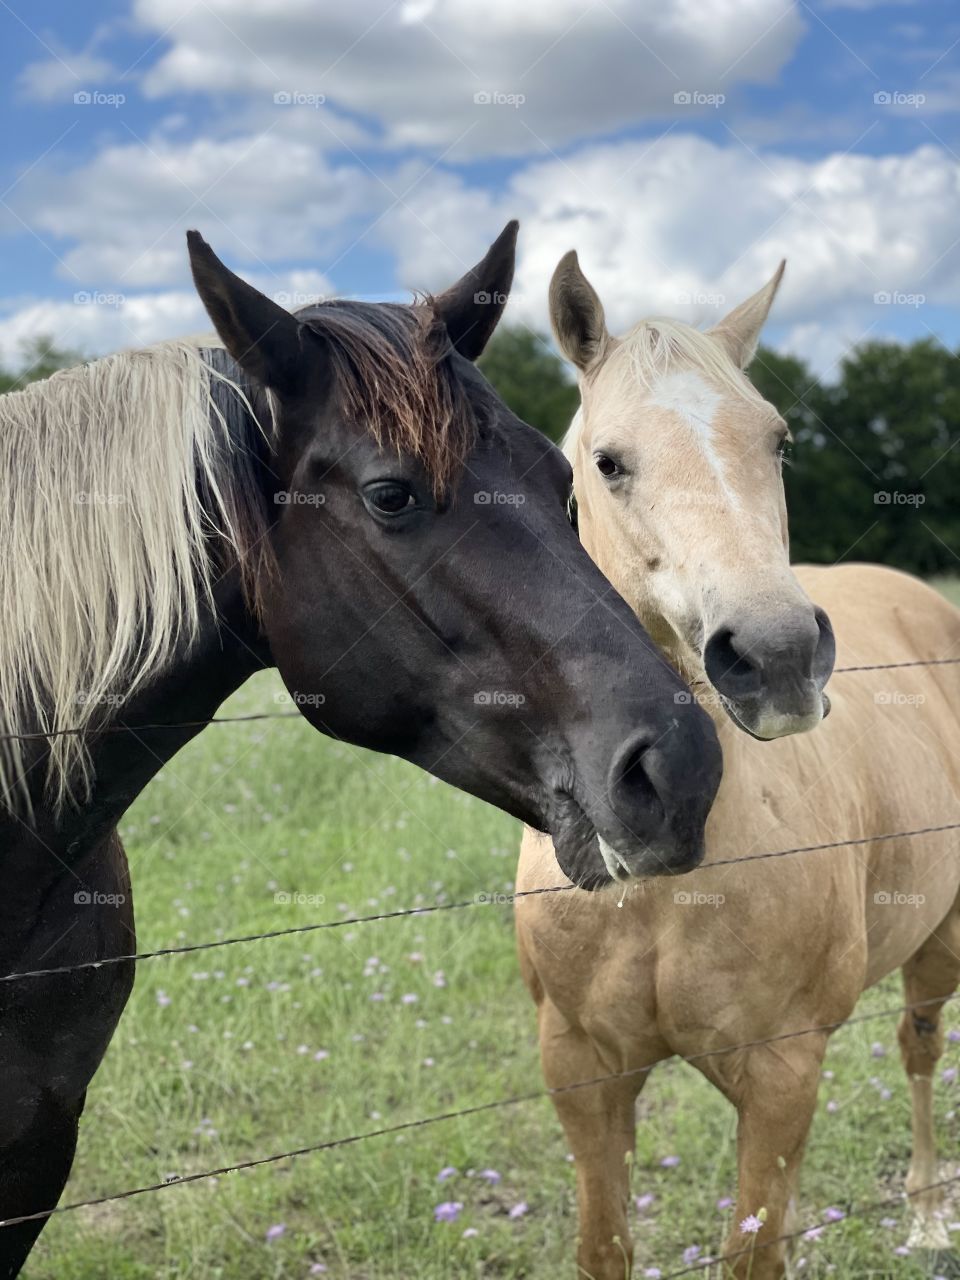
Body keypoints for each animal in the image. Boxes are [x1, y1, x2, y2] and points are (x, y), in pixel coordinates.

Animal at [516, 252, 960, 1278]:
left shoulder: (784, 1069)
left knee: (920, 1051)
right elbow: (607, 1246)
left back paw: (926, 1214)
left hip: (942, 945)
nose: (779, 656)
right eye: (609, 461)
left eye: (780, 443)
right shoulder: (583, 1073)